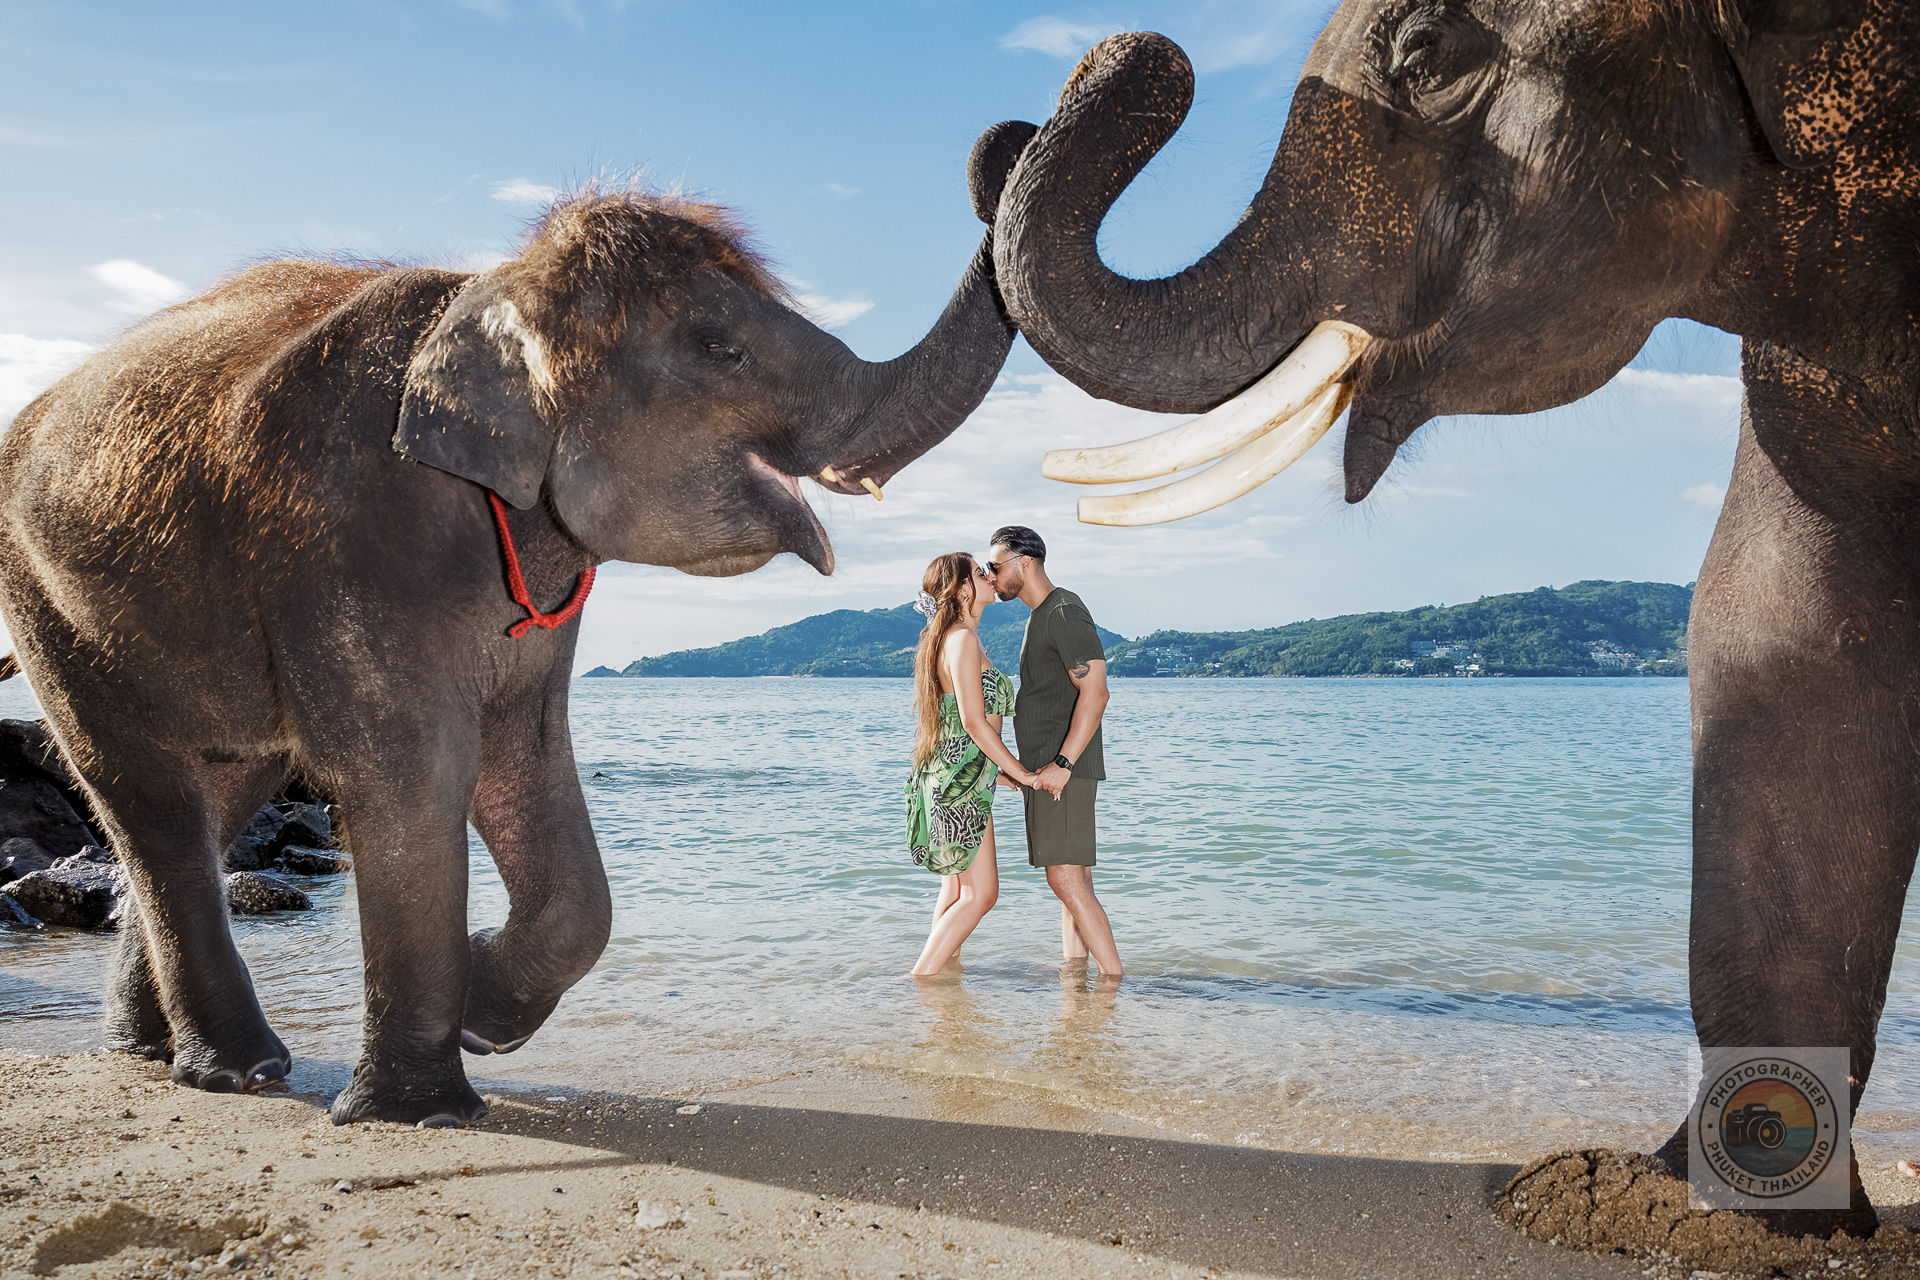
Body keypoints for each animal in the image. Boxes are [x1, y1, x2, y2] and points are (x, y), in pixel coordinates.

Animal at [0, 120, 1035, 1127]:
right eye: (721, 350)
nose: (1006, 140)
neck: (491, 290)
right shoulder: (349, 539)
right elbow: (416, 770)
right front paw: (422, 1111)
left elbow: (526, 756)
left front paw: (481, 1017)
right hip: (47, 605)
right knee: (151, 802)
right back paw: (241, 1070)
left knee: (225, 790)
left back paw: (157, 1052)